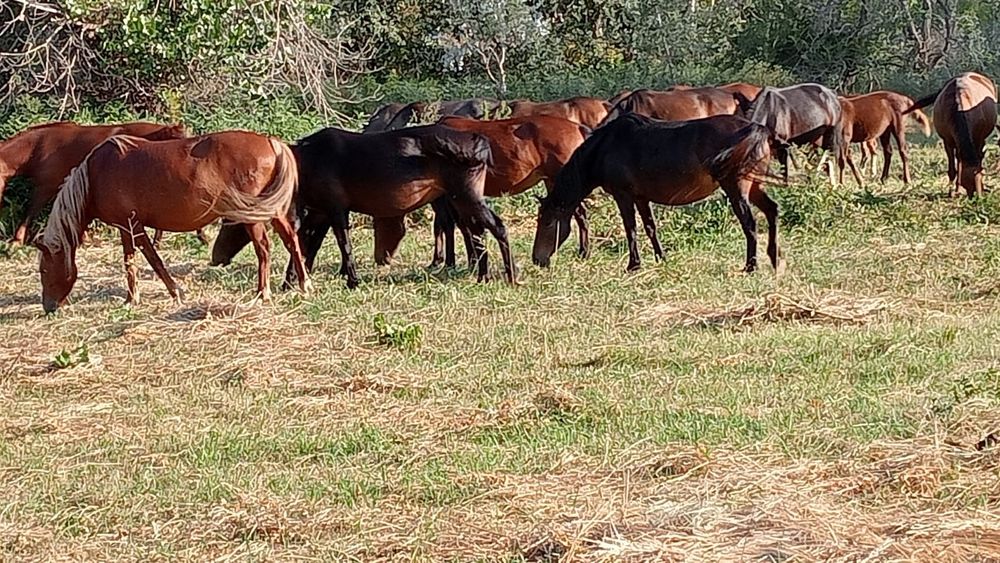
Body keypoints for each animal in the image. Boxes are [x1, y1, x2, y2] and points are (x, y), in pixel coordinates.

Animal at [35, 131, 309, 313]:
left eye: (44, 270)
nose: (49, 307)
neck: (95, 176)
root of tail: (271, 143)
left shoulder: (128, 226)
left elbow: (140, 260)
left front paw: (133, 299)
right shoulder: (132, 227)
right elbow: (148, 258)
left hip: (254, 216)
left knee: (264, 249)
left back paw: (263, 293)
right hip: (274, 212)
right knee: (291, 242)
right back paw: (304, 285)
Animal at [210, 124, 516, 289]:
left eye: (230, 222)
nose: (215, 258)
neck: (303, 162)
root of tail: (478, 142)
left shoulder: (335, 211)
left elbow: (342, 245)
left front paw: (352, 280)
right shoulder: (319, 215)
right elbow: (306, 248)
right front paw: (291, 283)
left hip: (466, 198)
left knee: (497, 228)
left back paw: (511, 275)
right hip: (459, 201)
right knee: (478, 235)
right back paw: (483, 276)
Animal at [371, 115, 591, 268]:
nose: (381, 258)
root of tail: (577, 127)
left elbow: (451, 225)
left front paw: (450, 261)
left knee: (579, 213)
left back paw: (584, 251)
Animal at [532, 113, 784, 274]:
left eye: (547, 222)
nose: (537, 259)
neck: (605, 147)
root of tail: (758, 129)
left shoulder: (623, 196)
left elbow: (631, 229)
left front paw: (633, 265)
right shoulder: (641, 198)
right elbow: (650, 227)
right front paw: (660, 258)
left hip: (736, 188)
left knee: (750, 223)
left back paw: (751, 266)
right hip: (754, 186)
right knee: (771, 210)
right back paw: (774, 258)